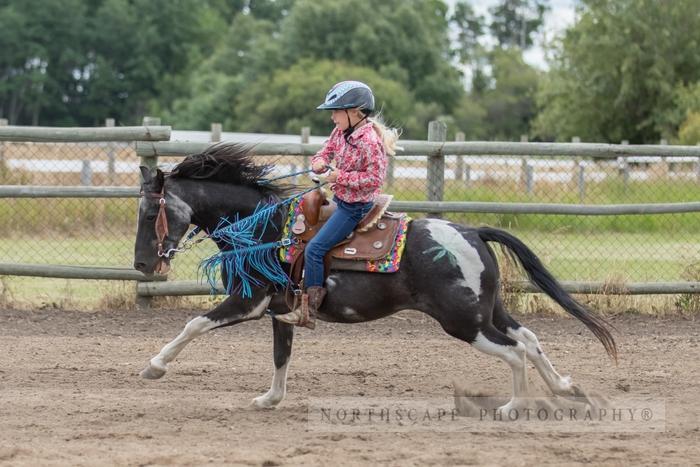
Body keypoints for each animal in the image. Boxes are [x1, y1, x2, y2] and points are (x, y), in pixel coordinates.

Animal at [134, 145, 616, 414]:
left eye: (150, 210)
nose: (141, 265)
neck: (264, 228)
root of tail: (471, 232)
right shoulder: (280, 310)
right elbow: (281, 356)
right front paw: (269, 400)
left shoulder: (247, 301)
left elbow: (193, 325)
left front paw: (155, 366)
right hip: (487, 309)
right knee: (529, 339)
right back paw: (565, 388)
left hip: (464, 321)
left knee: (514, 351)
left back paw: (514, 406)